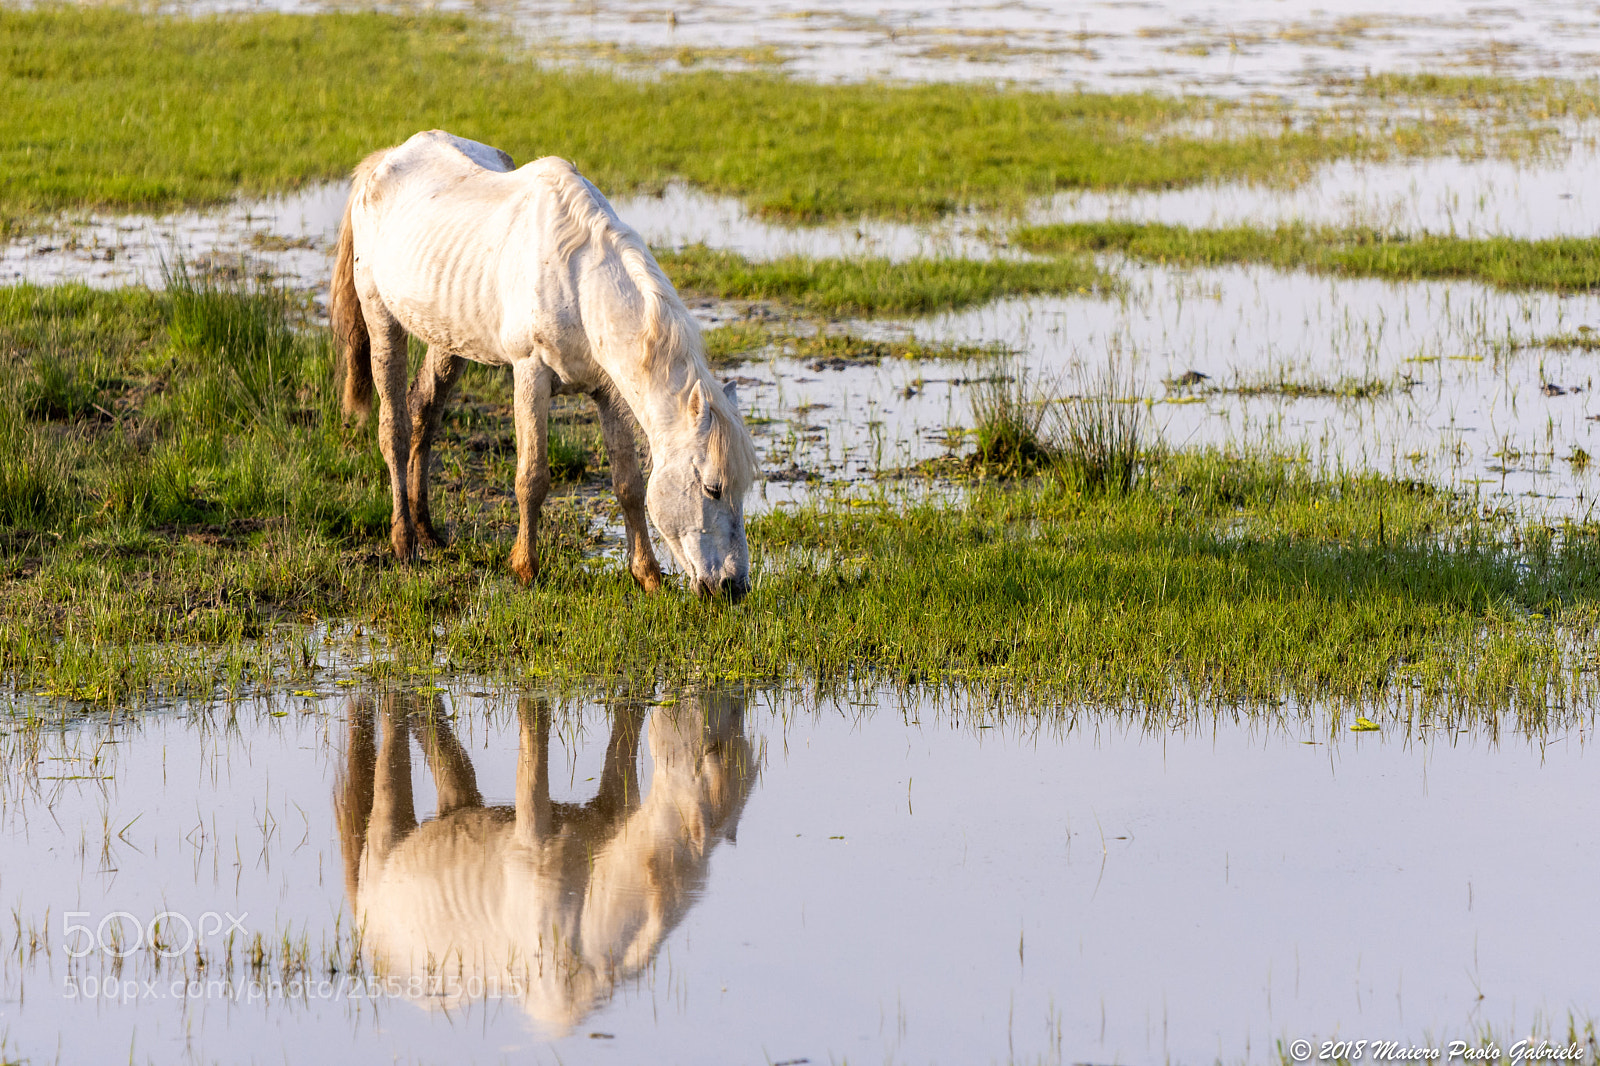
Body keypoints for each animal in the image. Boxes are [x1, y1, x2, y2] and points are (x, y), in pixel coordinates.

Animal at [329, 130, 758, 598]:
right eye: (712, 488)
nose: (734, 587)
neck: (578, 282)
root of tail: (387, 158)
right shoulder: (530, 374)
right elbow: (531, 478)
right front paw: (525, 569)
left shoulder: (609, 391)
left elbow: (627, 482)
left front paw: (647, 576)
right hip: (382, 320)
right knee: (396, 429)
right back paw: (405, 543)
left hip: (449, 340)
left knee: (424, 413)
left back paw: (428, 532)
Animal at [334, 692, 755, 1031]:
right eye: (716, 746)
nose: (727, 696)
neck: (587, 909)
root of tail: (364, 929)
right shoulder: (533, 831)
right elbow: (535, 731)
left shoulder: (614, 806)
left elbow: (627, 723)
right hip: (385, 834)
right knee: (392, 728)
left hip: (454, 810)